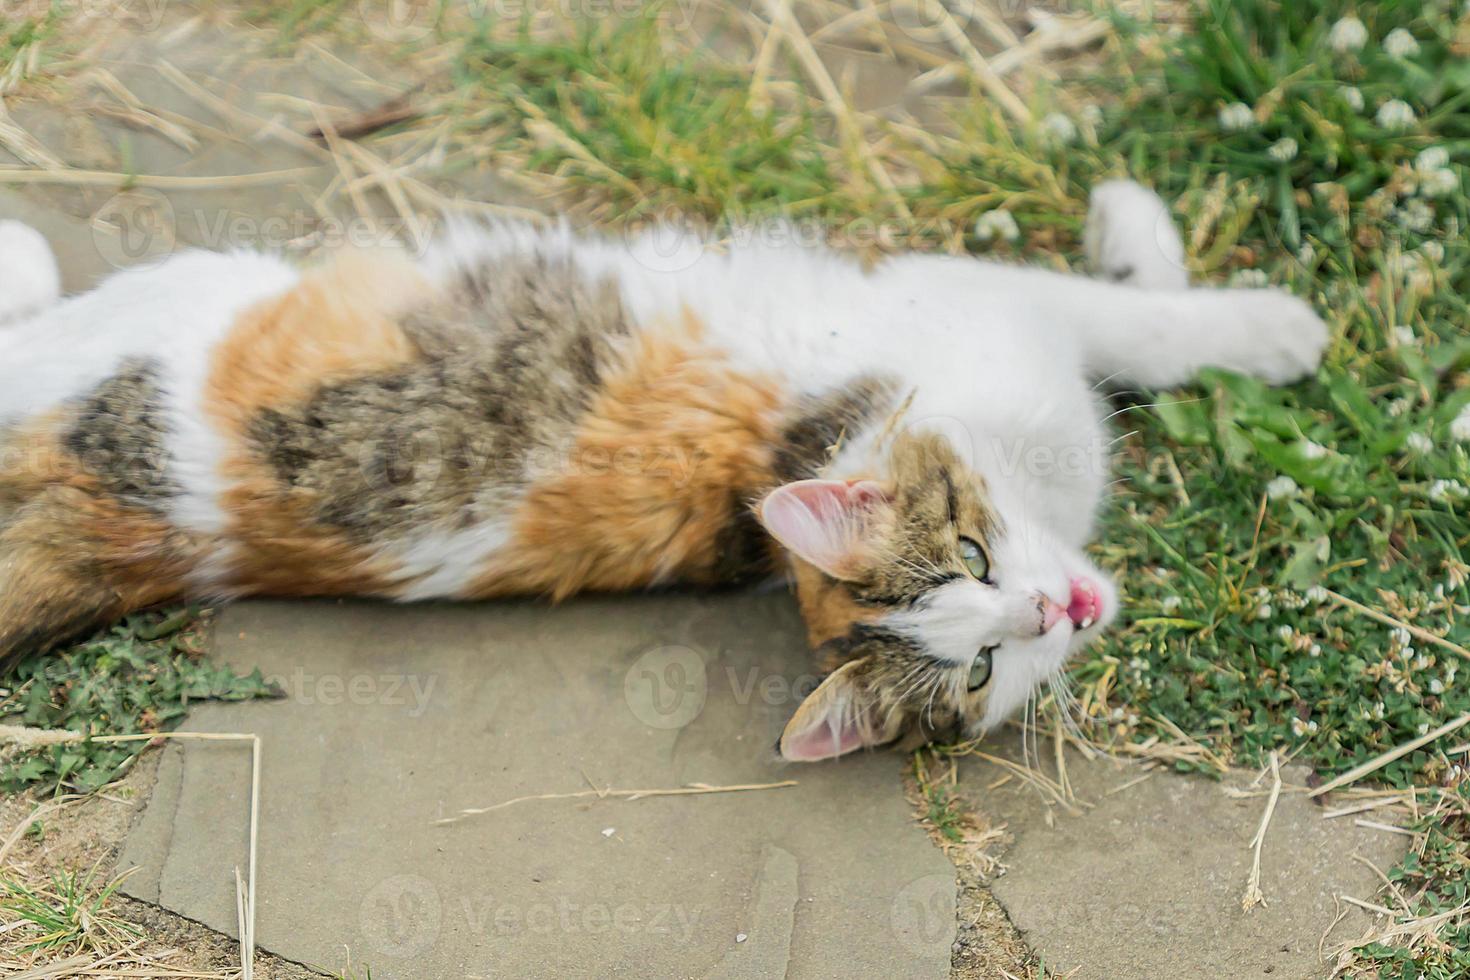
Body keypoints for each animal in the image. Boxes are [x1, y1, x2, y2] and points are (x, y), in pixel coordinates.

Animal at [0, 185, 1328, 764]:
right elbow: (1139, 324)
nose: (1062, 608)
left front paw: (1142, 239)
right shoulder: (980, 304)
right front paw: (1259, 321)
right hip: (136, 323)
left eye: (977, 559)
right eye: (984, 660)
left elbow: (1123, 317)